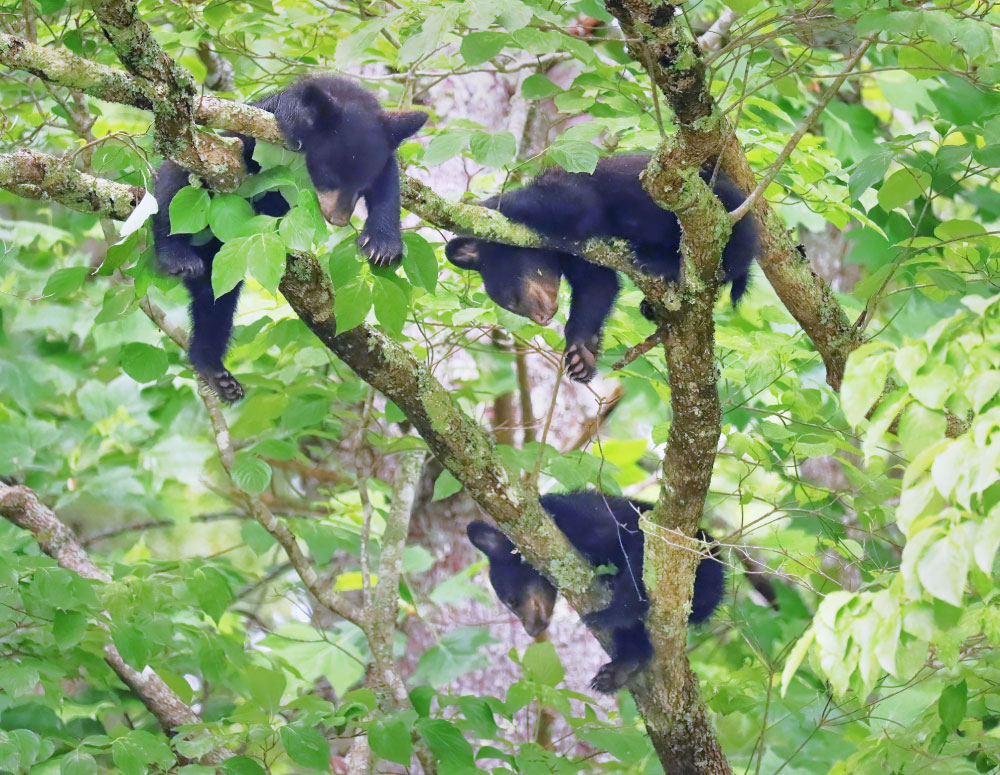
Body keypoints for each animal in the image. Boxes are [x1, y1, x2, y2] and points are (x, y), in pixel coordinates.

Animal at [152, 75, 427, 402]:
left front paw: (383, 245)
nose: (339, 218)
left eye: (361, 185)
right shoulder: (257, 130)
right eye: (330, 175)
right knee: (173, 185)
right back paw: (176, 256)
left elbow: (388, 182)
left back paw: (216, 371)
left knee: (215, 304)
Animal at [446, 155, 759, 383]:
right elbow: (597, 286)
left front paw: (484, 205)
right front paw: (581, 356)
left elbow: (571, 204)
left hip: (719, 207)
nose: (543, 318)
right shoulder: (578, 254)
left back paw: (657, 261)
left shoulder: (570, 190)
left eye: (511, 298)